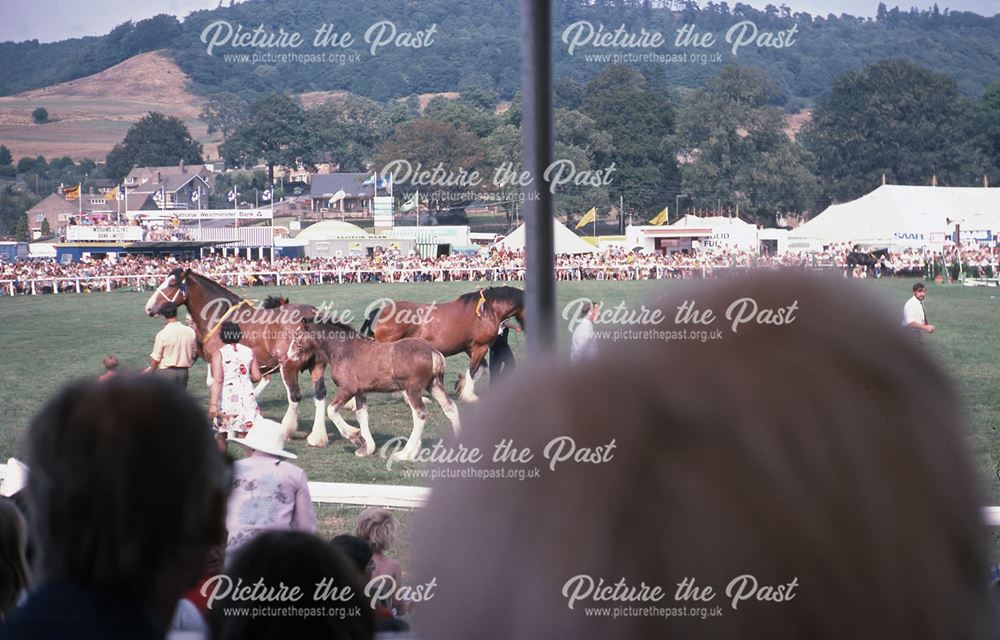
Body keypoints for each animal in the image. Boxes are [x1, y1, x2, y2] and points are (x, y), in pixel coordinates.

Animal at [145, 270, 368, 450]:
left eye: (171, 284)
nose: (149, 308)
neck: (221, 317)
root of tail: (314, 315)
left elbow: (220, 387)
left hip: (289, 367)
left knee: (295, 397)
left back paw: (287, 430)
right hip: (317, 366)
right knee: (319, 396)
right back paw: (317, 437)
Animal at [290, 318, 460, 460]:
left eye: (297, 335)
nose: (290, 354)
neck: (344, 351)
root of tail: (434, 353)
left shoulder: (347, 389)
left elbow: (331, 411)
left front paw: (356, 437)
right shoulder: (360, 392)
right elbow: (361, 415)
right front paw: (366, 447)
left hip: (412, 390)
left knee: (420, 415)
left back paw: (406, 453)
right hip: (434, 385)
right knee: (450, 408)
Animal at [362, 286, 532, 402]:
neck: (487, 312)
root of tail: (381, 311)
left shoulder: (470, 348)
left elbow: (481, 368)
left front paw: (460, 384)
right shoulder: (480, 346)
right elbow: (474, 370)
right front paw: (469, 395)